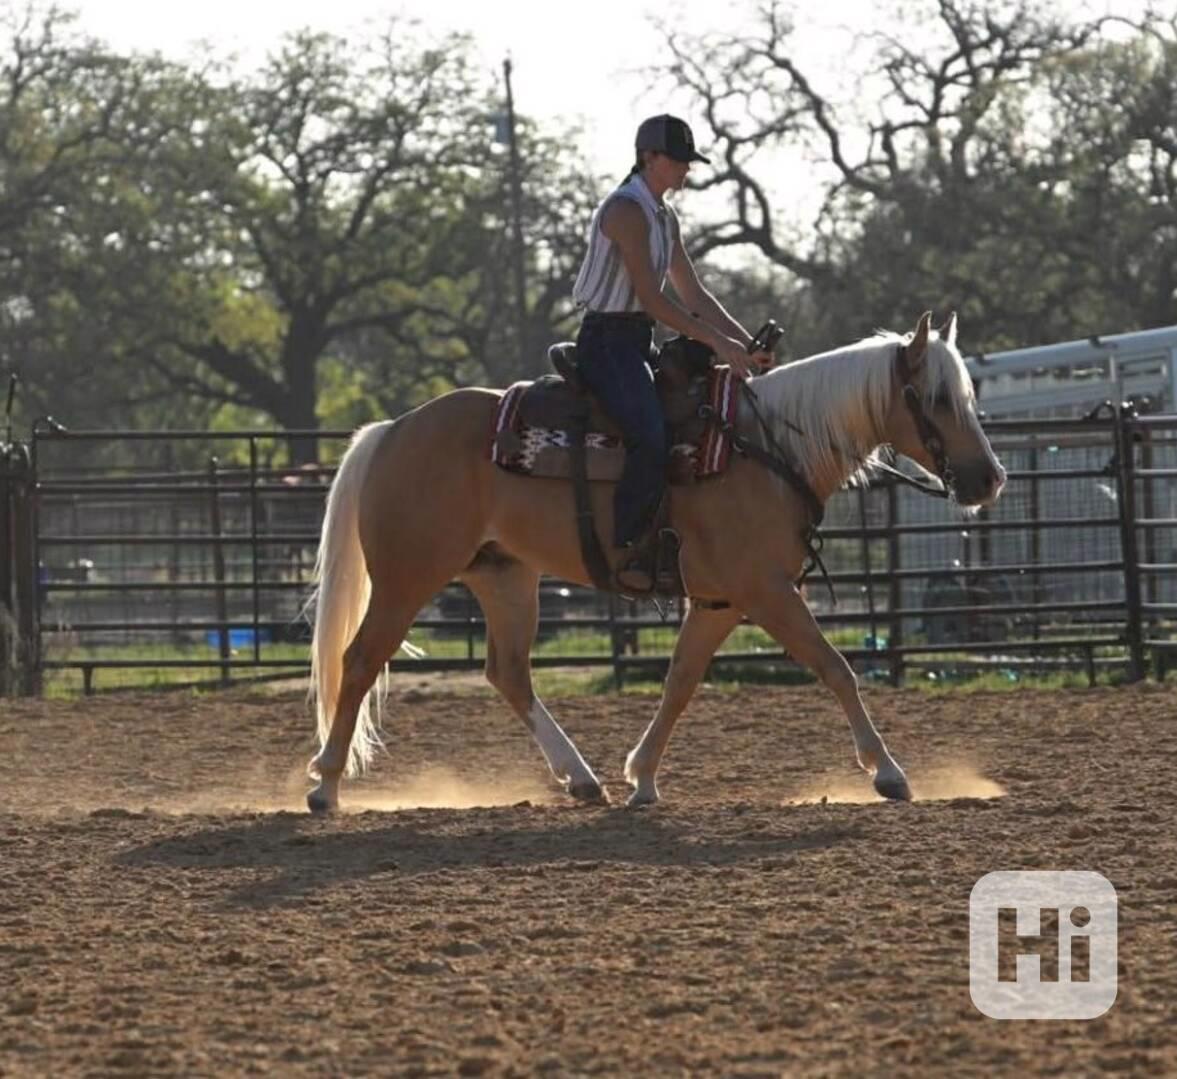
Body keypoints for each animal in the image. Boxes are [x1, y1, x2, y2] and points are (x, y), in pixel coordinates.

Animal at [305, 311, 1006, 812]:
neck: (766, 449)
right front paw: (888, 773)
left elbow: (679, 682)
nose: (989, 479)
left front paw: (641, 778)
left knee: (509, 673)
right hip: (407, 577)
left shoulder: (721, 600)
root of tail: (392, 431)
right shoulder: (767, 590)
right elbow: (835, 668)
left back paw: (582, 780)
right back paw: (325, 785)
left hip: (505, 576)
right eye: (937, 398)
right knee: (360, 660)